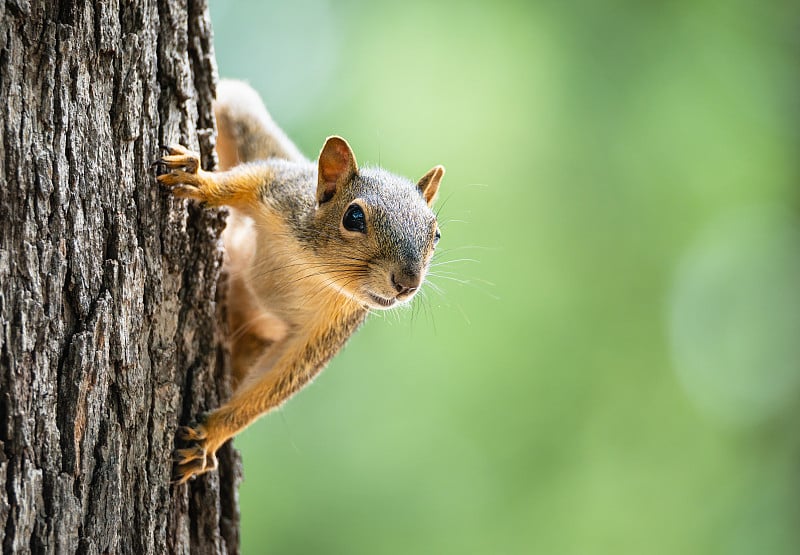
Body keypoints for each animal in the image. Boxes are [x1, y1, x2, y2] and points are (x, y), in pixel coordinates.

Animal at [156, 80, 444, 484]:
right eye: (354, 217)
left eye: (436, 235)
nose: (407, 283)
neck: (313, 268)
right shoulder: (280, 190)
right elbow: (240, 182)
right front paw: (200, 181)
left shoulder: (328, 329)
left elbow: (278, 380)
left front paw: (210, 436)